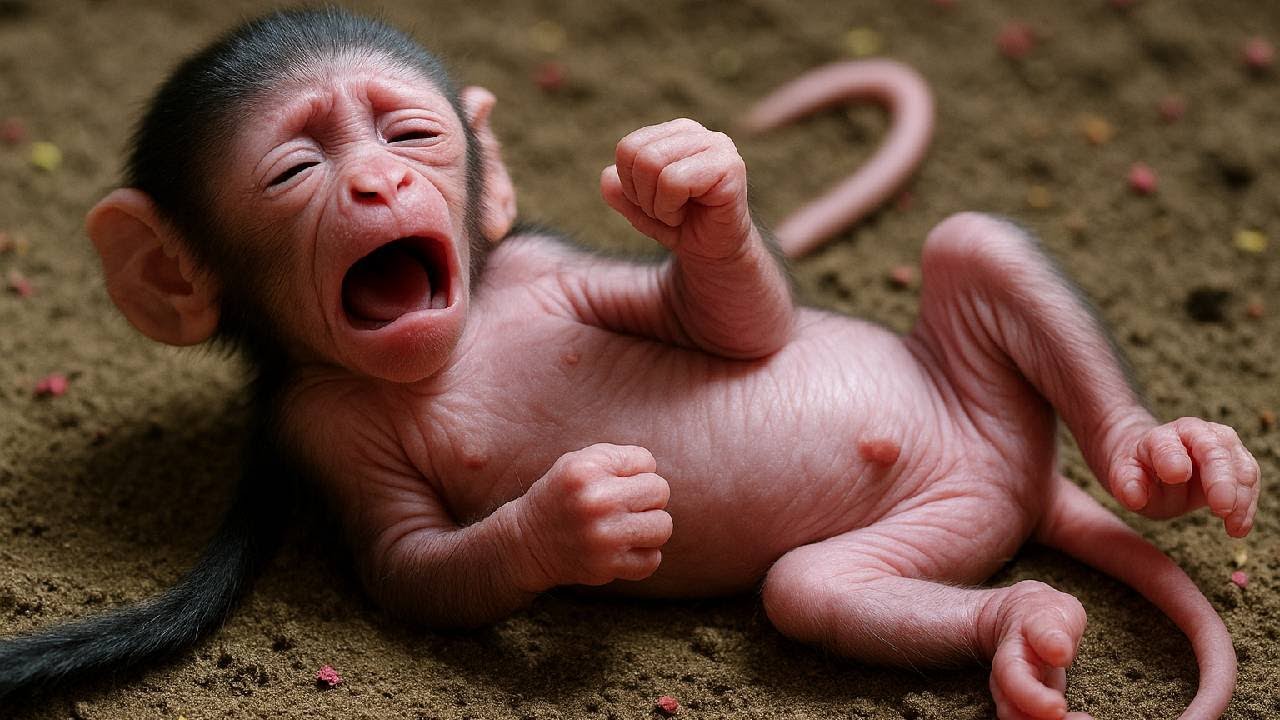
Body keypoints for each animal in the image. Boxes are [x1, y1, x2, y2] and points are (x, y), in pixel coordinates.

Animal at [0, 8, 1259, 719]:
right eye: (295, 169)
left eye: (411, 136)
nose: (378, 187)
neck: (451, 341)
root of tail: (1026, 483)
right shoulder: (321, 428)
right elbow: (413, 568)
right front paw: (583, 515)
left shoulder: (543, 259)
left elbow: (741, 329)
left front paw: (685, 181)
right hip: (928, 536)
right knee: (817, 589)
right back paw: (1032, 629)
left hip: (990, 380)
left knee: (970, 240)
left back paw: (1168, 457)